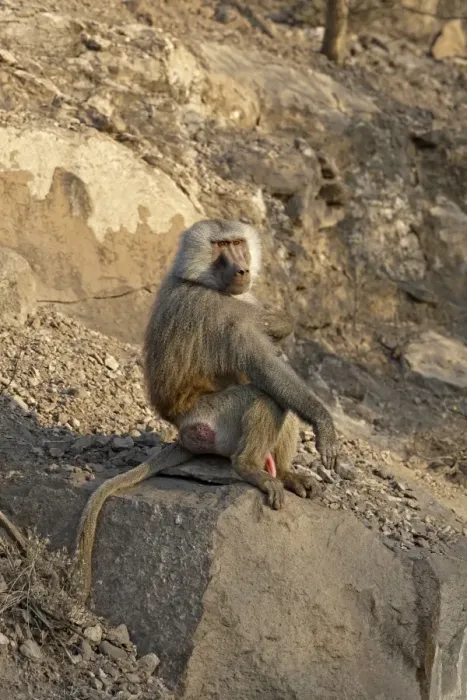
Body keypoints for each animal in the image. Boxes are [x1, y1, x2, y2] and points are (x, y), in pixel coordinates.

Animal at [75, 219, 338, 600]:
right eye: (220, 247)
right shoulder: (216, 309)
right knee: (265, 394)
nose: (242, 269)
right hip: (210, 421)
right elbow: (263, 365)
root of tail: (181, 434)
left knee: (277, 392)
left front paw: (277, 321)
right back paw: (250, 469)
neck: (198, 280)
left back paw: (287, 474)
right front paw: (324, 424)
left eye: (237, 243)